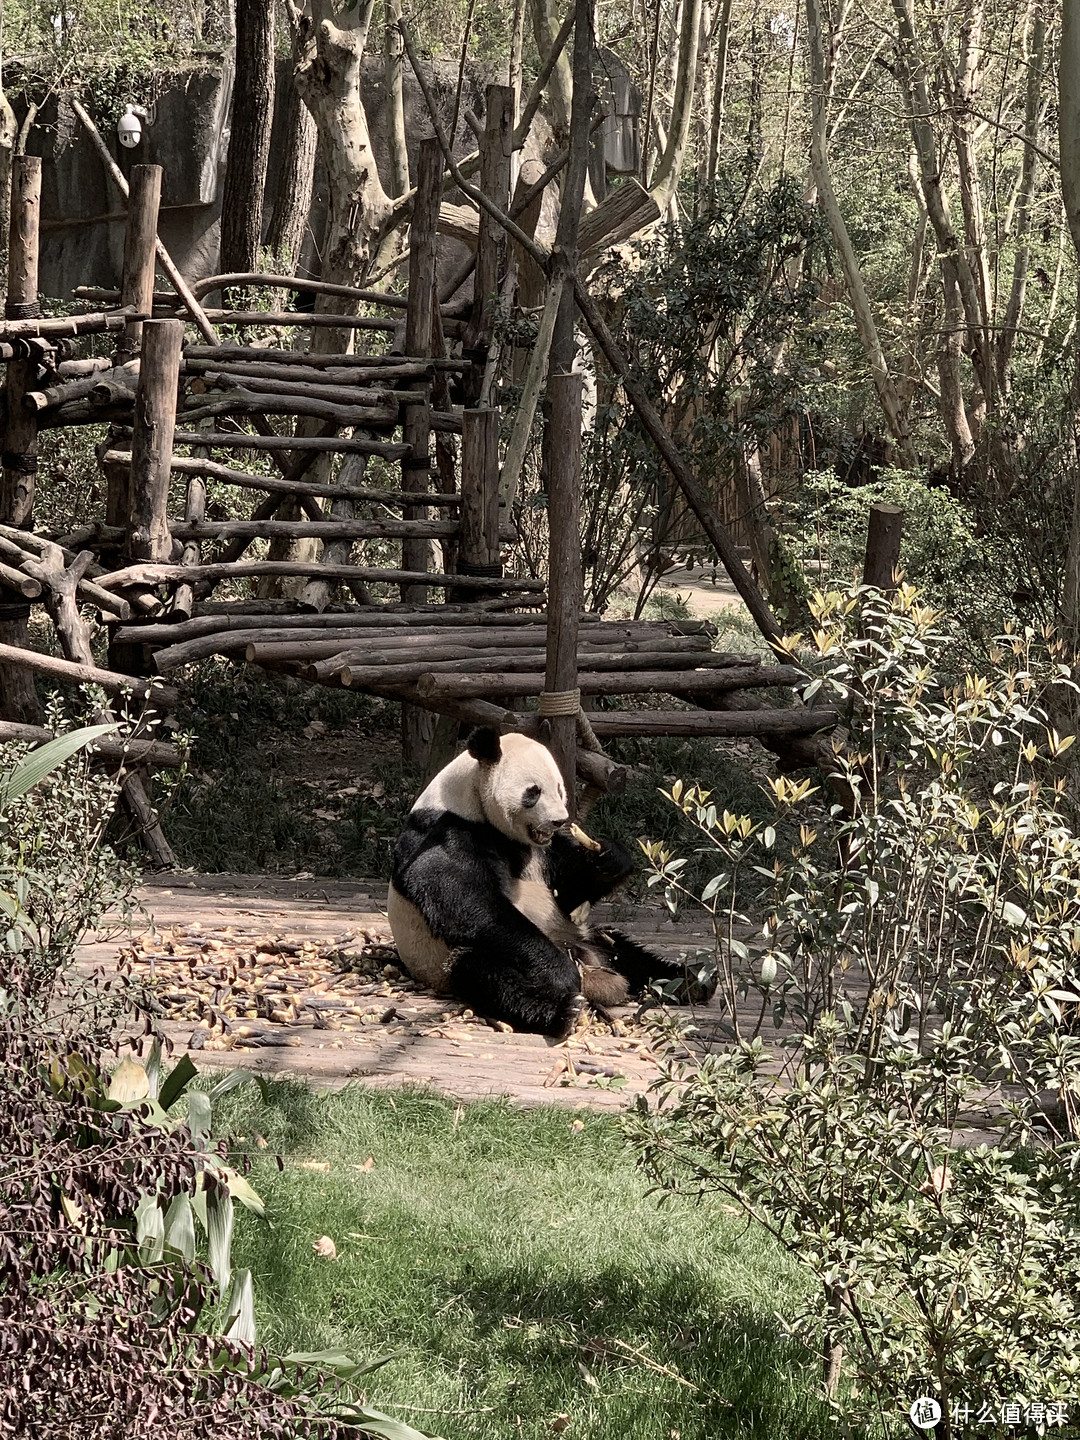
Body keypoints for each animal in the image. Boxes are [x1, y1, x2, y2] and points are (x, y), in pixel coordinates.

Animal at [388, 731, 720, 1036]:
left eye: (560, 788)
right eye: (533, 792)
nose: (560, 820)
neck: (469, 797)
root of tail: (591, 967)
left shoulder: (546, 851)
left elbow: (571, 889)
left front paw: (610, 858)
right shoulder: (447, 832)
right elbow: (466, 902)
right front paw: (561, 975)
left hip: (587, 937)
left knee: (628, 953)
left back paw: (691, 981)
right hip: (446, 961)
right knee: (484, 972)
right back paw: (562, 1011)